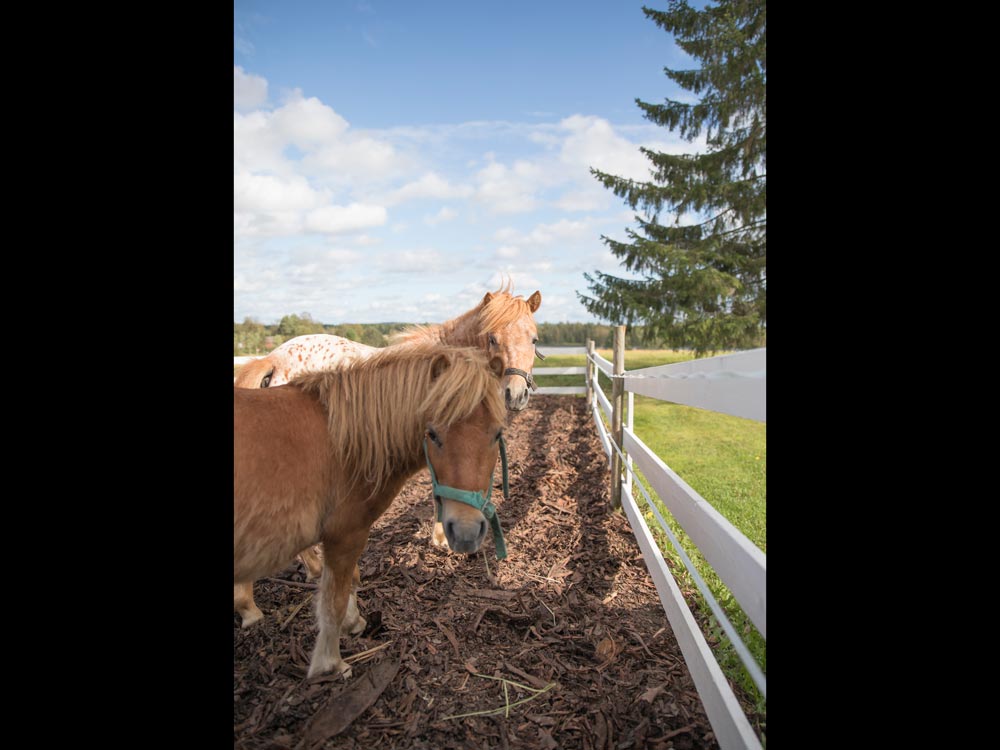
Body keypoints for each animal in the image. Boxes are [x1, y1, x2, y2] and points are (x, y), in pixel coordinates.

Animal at [234, 344, 508, 680]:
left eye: (497, 434)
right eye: (432, 434)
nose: (466, 532)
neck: (346, 443)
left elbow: (350, 580)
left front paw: (354, 623)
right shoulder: (346, 535)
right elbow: (334, 601)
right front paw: (331, 663)